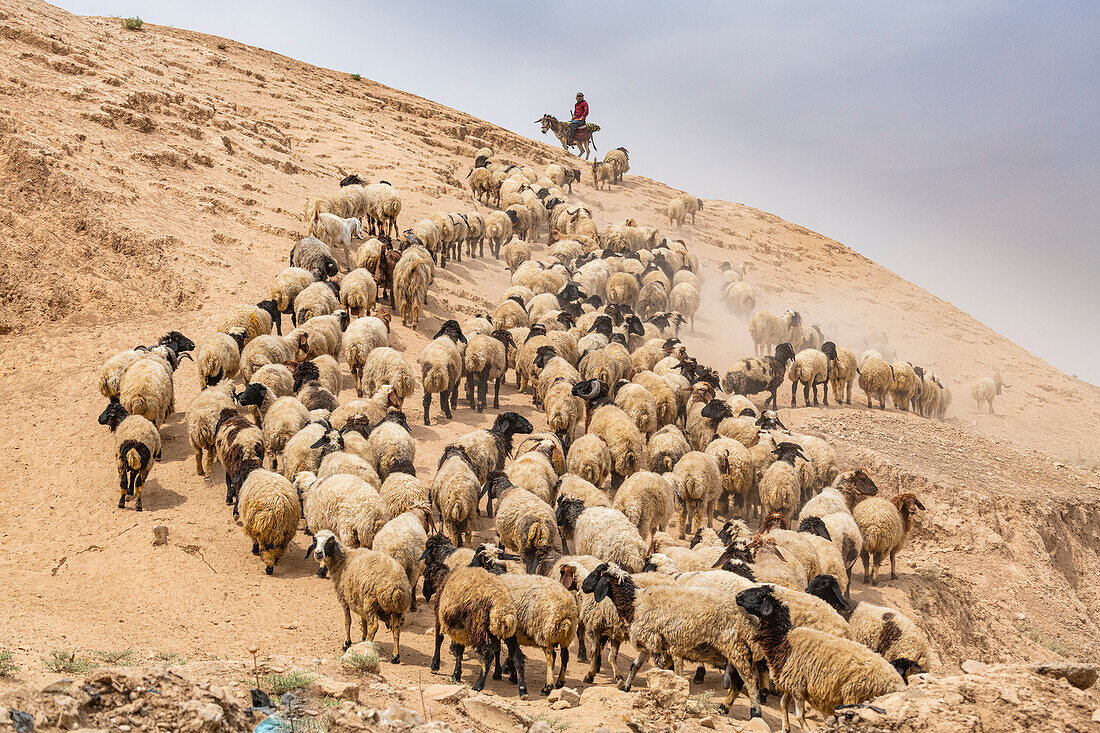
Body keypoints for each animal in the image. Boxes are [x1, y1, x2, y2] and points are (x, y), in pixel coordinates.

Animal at [308, 528, 411, 660]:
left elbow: (347, 621)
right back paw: (395, 656)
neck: (344, 562)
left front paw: (347, 643)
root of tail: (397, 588)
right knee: (396, 629)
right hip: (397, 609)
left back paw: (368, 647)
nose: (318, 553)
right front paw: (362, 637)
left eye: (330, 541)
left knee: (374, 626)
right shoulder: (359, 600)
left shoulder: (344, 599)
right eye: (315, 540)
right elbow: (363, 620)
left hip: (371, 602)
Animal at [739, 581, 902, 730]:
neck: (784, 638)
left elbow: (799, 716)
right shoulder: (791, 684)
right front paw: (785, 728)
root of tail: (897, 684)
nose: (738, 595)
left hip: (855, 694)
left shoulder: (797, 686)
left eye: (759, 594)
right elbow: (783, 704)